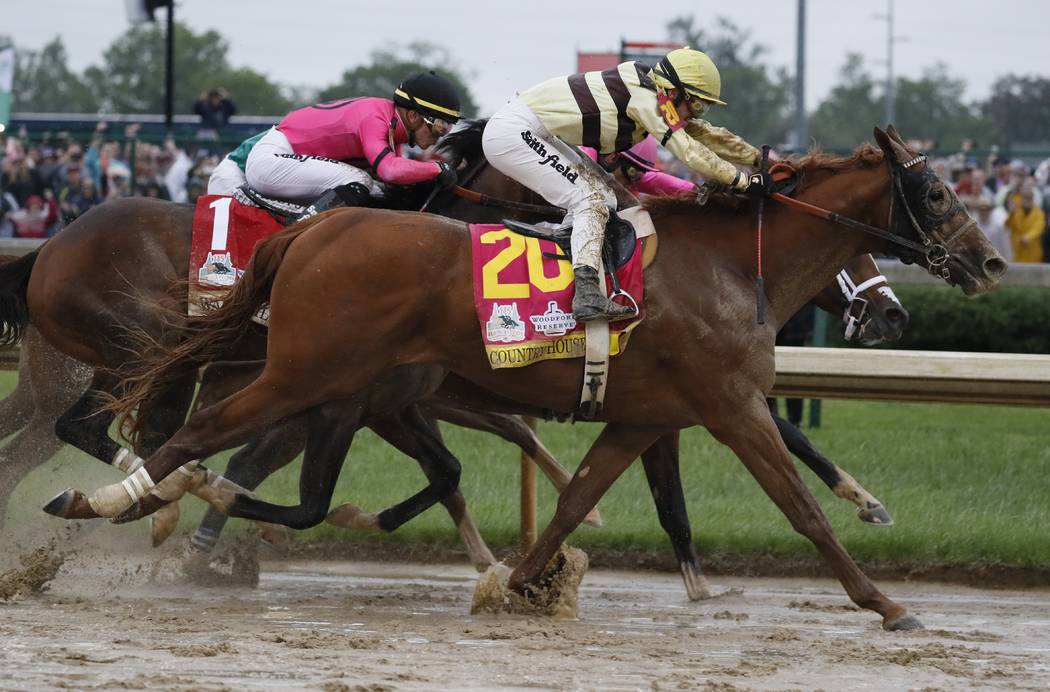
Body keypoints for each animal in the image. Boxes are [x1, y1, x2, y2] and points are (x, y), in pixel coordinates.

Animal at [76, 126, 999, 630]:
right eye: (935, 190)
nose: (989, 262)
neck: (733, 264)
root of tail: (310, 231)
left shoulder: (644, 416)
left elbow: (576, 500)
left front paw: (520, 583)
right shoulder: (729, 403)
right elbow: (800, 507)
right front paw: (885, 602)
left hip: (337, 383)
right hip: (313, 374)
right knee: (204, 439)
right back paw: (110, 503)